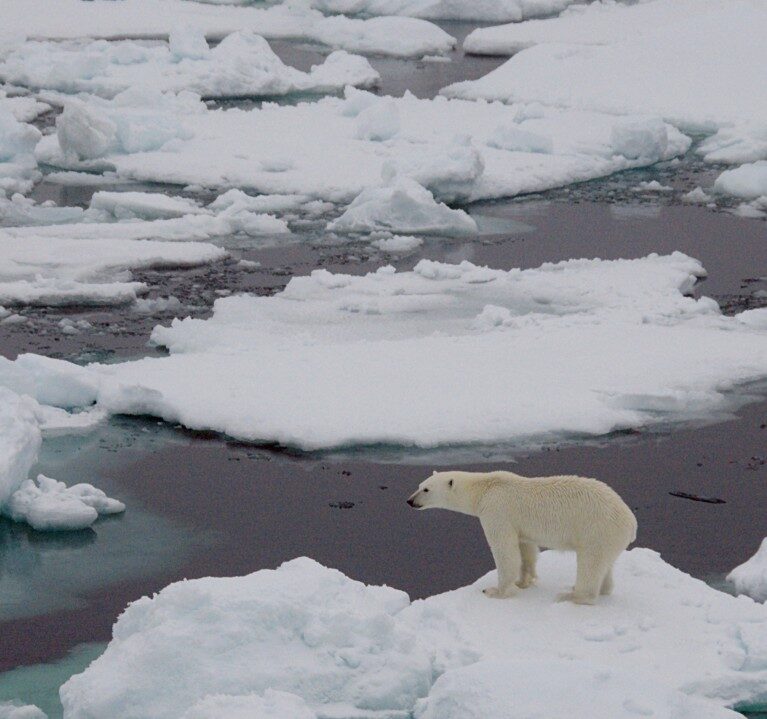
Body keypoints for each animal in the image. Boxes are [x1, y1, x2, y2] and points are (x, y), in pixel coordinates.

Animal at [407, 470, 637, 605]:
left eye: (426, 489)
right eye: (419, 485)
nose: (409, 501)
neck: (484, 488)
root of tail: (631, 522)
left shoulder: (496, 510)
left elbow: (504, 551)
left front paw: (495, 591)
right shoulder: (520, 525)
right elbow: (525, 548)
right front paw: (523, 581)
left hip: (597, 530)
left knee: (590, 563)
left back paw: (571, 595)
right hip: (608, 537)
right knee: (605, 564)